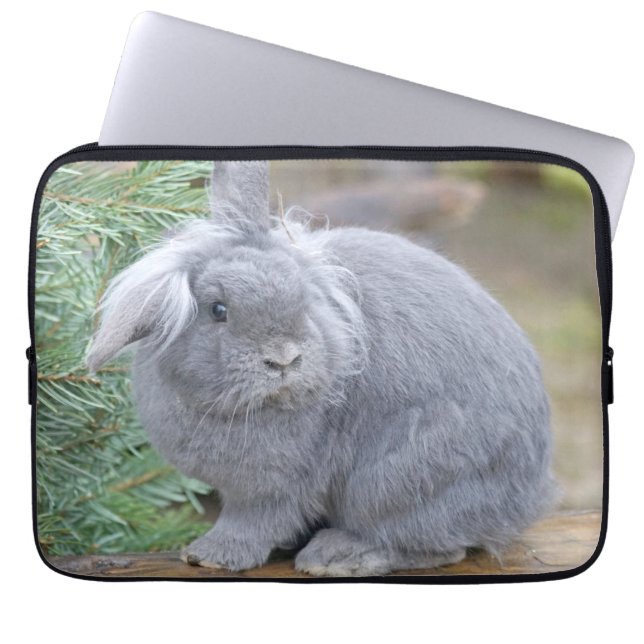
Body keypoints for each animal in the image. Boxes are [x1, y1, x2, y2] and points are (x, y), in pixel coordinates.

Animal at [86, 161, 555, 576]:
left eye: (303, 298)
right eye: (218, 310)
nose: (284, 359)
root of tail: (528, 496)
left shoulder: (271, 487)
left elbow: (253, 522)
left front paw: (210, 556)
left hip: (399, 480)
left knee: (436, 547)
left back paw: (338, 556)